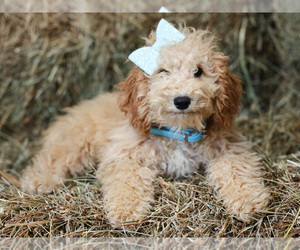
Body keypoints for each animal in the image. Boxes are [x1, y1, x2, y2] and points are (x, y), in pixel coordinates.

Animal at [21, 21, 270, 225]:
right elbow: (127, 180)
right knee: (49, 159)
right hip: (75, 143)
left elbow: (237, 169)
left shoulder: (229, 146)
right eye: (163, 71)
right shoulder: (124, 153)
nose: (182, 100)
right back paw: (39, 181)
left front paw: (249, 200)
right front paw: (126, 211)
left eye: (198, 71)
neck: (178, 132)